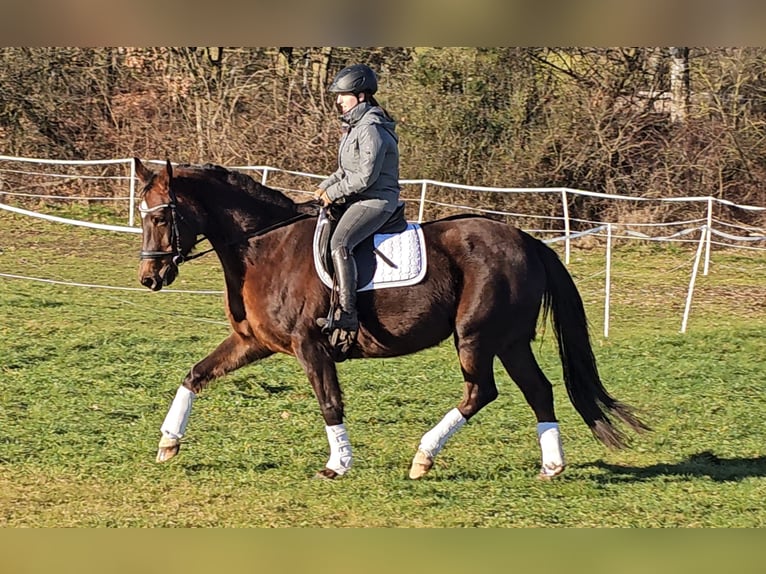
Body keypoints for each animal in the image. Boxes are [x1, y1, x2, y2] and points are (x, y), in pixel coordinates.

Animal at [134, 159, 648, 482]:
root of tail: (526, 240)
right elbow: (195, 376)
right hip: (510, 341)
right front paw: (167, 444)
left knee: (481, 392)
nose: (149, 278)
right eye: (141, 215)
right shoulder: (253, 342)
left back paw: (423, 458)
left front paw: (337, 465)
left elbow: (330, 403)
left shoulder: (310, 346)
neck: (266, 247)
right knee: (538, 391)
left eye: (162, 216)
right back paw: (551, 467)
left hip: (476, 337)